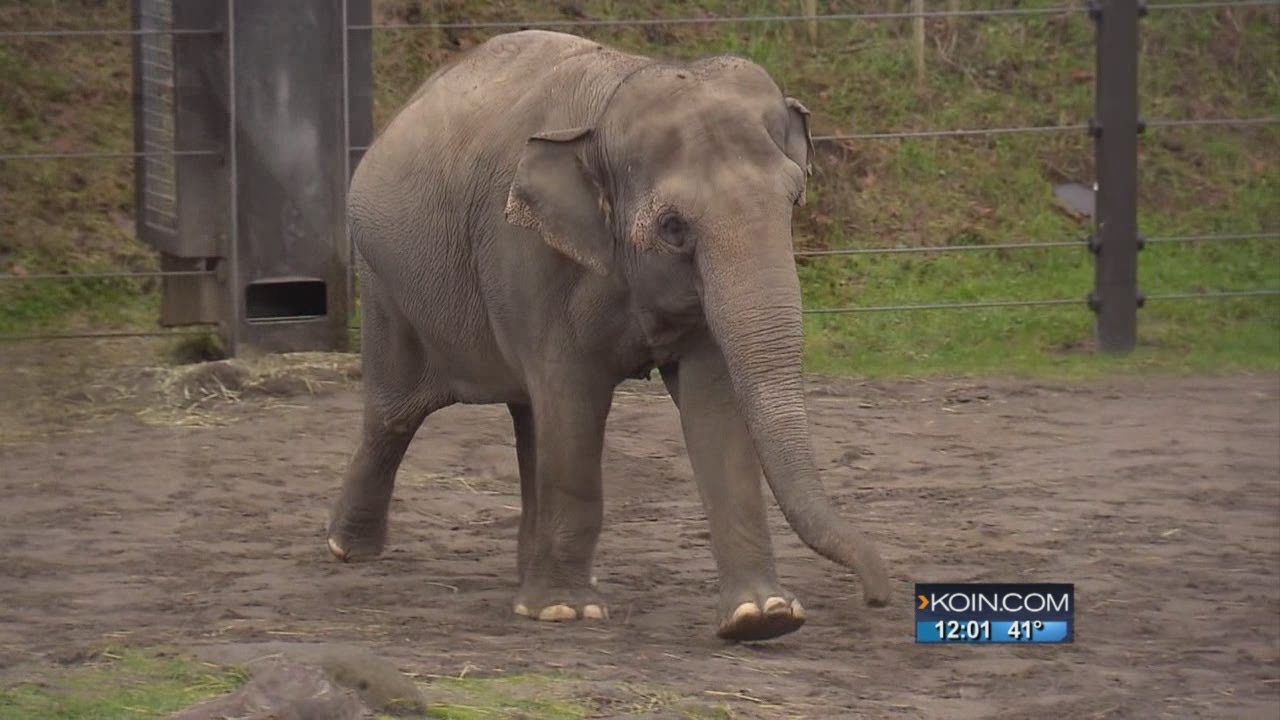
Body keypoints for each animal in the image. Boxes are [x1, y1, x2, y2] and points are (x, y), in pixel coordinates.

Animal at [325, 29, 891, 642]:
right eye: (673, 227)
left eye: (792, 200)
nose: (878, 596)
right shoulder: (528, 253)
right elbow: (573, 401)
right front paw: (565, 612)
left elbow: (714, 406)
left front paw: (761, 618)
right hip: (384, 283)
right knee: (397, 412)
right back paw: (349, 550)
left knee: (530, 419)